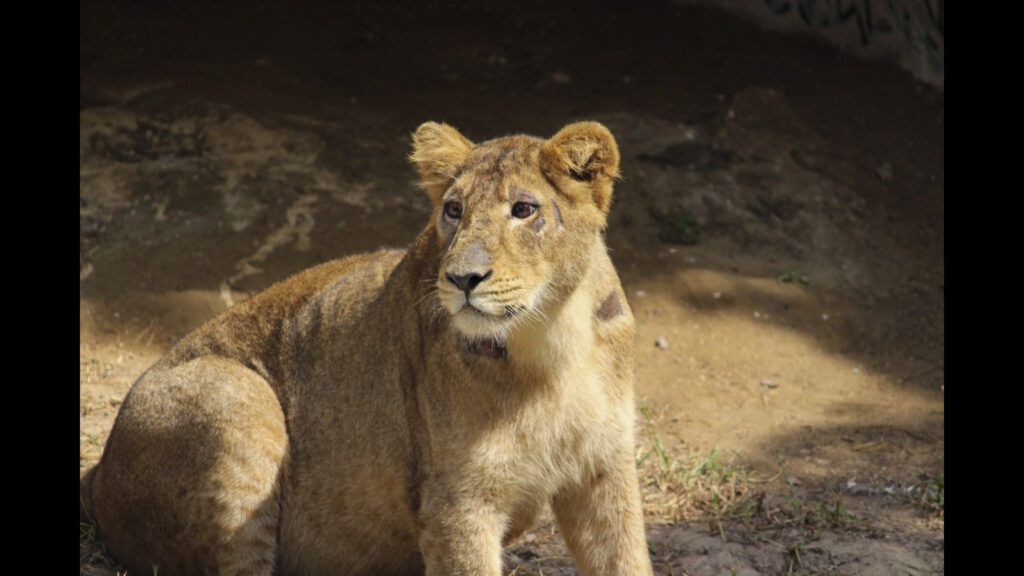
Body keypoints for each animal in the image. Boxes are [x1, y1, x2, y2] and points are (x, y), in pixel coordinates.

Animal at [80, 121, 655, 576]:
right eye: (453, 209)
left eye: (523, 209)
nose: (461, 278)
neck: (551, 343)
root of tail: (99, 474)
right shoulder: (457, 502)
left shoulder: (605, 471)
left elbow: (626, 559)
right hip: (234, 396)